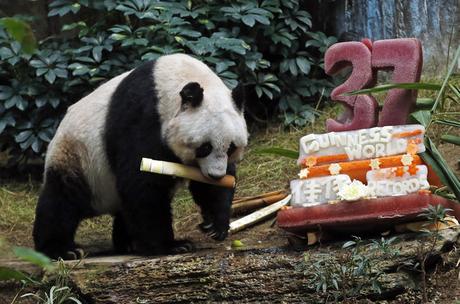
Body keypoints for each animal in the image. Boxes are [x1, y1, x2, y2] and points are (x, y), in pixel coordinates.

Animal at [33, 54, 248, 258]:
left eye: (231, 148)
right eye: (205, 147)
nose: (215, 176)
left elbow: (209, 187)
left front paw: (215, 225)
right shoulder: (143, 117)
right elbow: (142, 183)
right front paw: (171, 245)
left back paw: (128, 243)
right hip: (77, 156)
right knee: (63, 199)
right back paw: (61, 250)